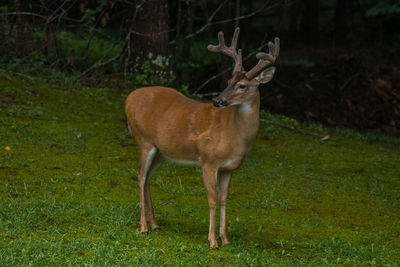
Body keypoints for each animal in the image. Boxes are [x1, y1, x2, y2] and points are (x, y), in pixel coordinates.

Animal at [124, 27, 278, 249]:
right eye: (228, 82)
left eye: (241, 85)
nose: (218, 100)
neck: (235, 135)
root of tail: (128, 98)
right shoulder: (209, 161)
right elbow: (212, 199)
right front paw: (212, 240)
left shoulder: (229, 168)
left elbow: (224, 199)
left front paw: (226, 239)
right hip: (144, 139)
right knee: (139, 174)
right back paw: (143, 226)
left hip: (162, 151)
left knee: (147, 178)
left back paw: (155, 224)